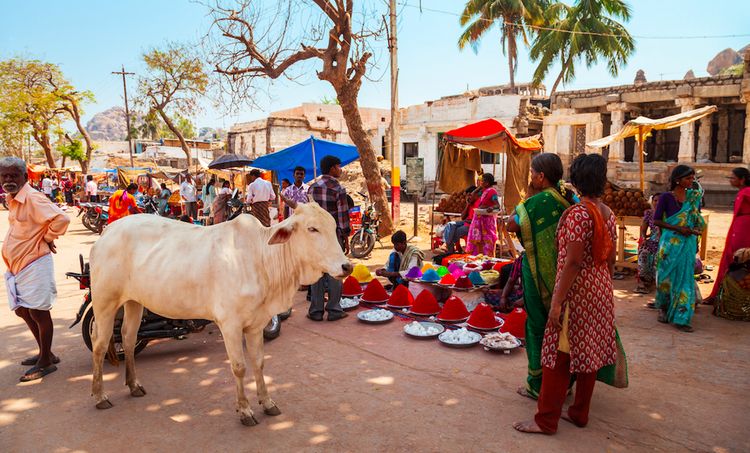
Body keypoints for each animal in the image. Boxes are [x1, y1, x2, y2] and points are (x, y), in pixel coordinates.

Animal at [89, 203, 354, 426]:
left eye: (333, 226)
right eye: (312, 228)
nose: (347, 266)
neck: (261, 259)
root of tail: (107, 232)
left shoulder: (256, 324)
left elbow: (259, 362)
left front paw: (267, 402)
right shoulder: (230, 324)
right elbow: (239, 367)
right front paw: (245, 410)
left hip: (134, 302)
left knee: (128, 338)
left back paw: (134, 385)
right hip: (104, 301)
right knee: (100, 344)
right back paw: (99, 396)